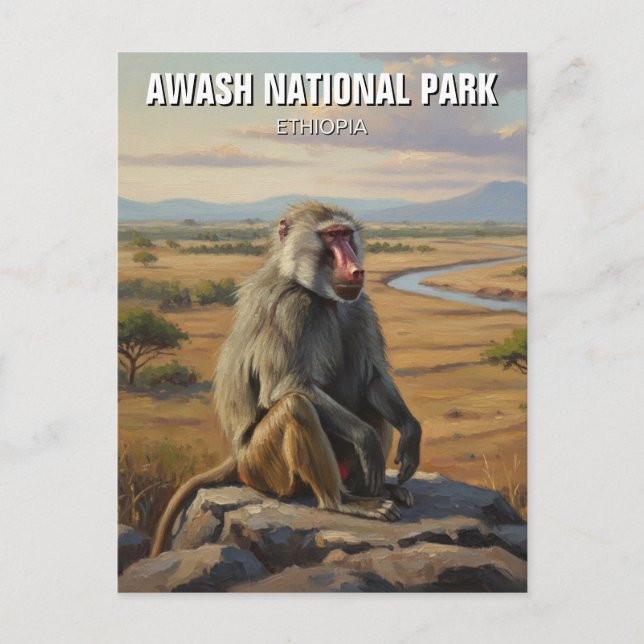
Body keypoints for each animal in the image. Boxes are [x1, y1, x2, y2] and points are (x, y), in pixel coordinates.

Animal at [150, 202, 421, 558]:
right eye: (331, 237)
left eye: (347, 235)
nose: (356, 270)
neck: (317, 295)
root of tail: (237, 457)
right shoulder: (288, 308)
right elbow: (287, 387)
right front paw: (368, 440)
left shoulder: (358, 304)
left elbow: (372, 379)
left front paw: (411, 435)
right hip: (262, 468)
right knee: (297, 407)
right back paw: (341, 502)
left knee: (367, 403)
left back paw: (379, 490)